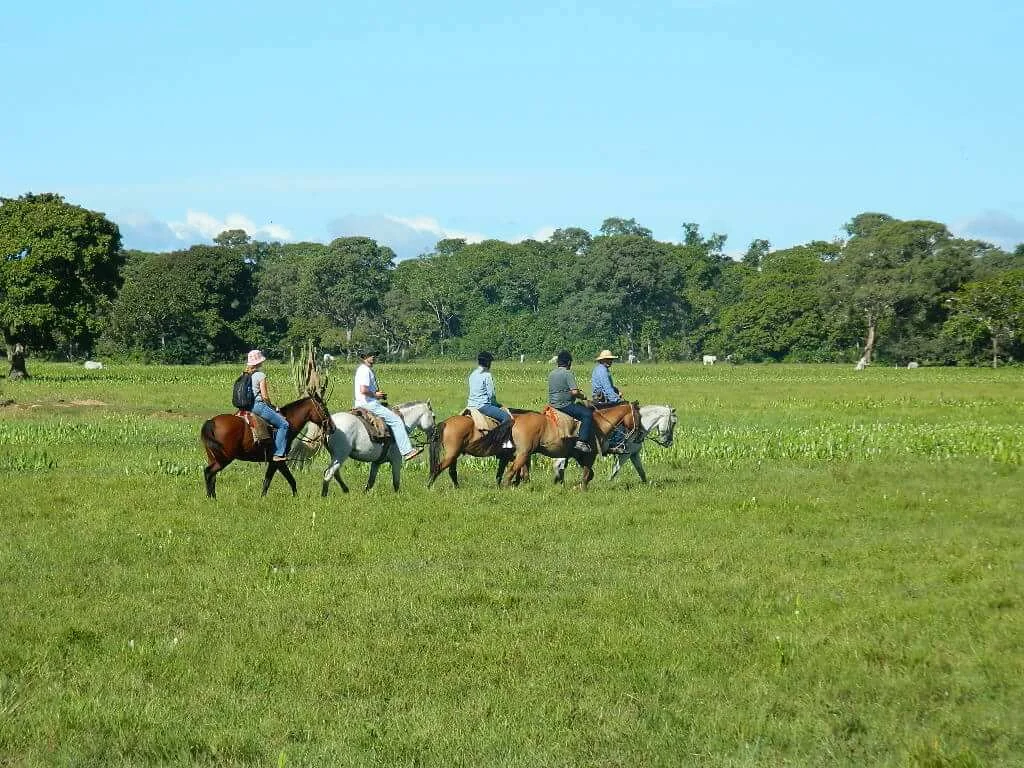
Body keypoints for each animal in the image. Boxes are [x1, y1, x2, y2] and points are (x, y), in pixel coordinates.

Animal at [196, 397, 331, 499]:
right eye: (324, 408)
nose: (331, 427)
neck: (288, 423)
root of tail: (212, 421)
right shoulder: (278, 461)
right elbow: (287, 479)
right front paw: (295, 496)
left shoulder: (275, 462)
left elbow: (269, 480)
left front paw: (263, 497)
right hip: (224, 459)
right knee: (209, 472)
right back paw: (211, 497)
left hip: (214, 457)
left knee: (211, 475)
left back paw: (212, 497)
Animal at [290, 399, 434, 495]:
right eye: (433, 416)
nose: (434, 434)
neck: (402, 424)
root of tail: (328, 423)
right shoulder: (397, 460)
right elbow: (396, 481)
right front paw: (397, 496)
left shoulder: (377, 462)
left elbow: (371, 482)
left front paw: (365, 494)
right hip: (341, 455)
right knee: (329, 473)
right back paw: (324, 495)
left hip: (336, 456)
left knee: (335, 473)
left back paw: (345, 490)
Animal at [499, 403, 634, 493]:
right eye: (636, 416)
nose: (636, 433)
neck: (599, 424)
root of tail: (515, 419)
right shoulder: (590, 455)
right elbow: (587, 474)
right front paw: (582, 489)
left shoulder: (579, 456)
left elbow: (589, 473)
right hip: (523, 453)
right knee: (511, 471)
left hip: (524, 454)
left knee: (522, 472)